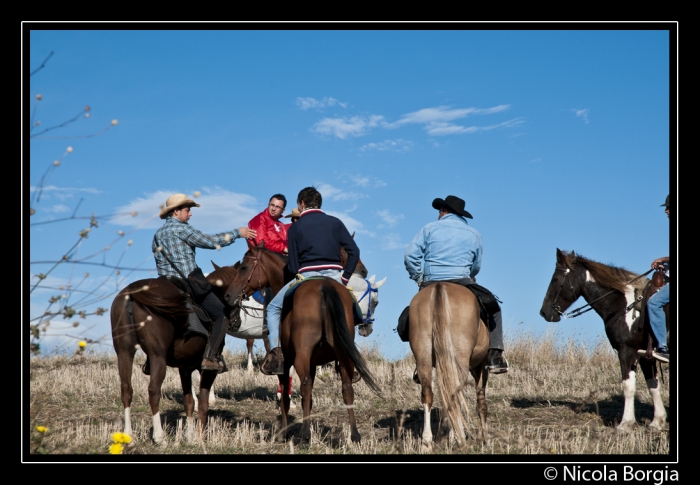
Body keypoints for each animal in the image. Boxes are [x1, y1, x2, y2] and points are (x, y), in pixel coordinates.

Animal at [109, 278, 217, 444]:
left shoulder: (185, 368)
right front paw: (200, 438)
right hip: (157, 356)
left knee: (126, 389)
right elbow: (202, 403)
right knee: (153, 391)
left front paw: (190, 436)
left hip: (124, 353)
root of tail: (133, 288)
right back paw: (160, 437)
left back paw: (129, 435)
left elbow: (189, 401)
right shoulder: (206, 369)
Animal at [221, 242, 380, 442]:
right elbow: (308, 398)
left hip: (302, 356)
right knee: (346, 388)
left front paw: (282, 432)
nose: (228, 296)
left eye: (244, 267)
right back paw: (354, 434)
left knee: (305, 385)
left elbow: (286, 397)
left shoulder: (287, 361)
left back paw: (304, 434)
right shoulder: (312, 362)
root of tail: (324, 287)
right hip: (341, 356)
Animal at [408, 282, 490, 448]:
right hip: (459, 360)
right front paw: (486, 439)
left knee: (428, 394)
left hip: (424, 357)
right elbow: (481, 402)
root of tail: (439, 286)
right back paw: (458, 438)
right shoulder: (482, 366)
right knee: (454, 394)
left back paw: (427, 441)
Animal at [540, 248, 668, 430]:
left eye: (555, 279)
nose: (543, 312)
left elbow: (628, 386)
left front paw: (625, 423)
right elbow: (653, 386)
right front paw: (657, 422)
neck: (623, 305)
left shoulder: (626, 351)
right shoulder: (646, 356)